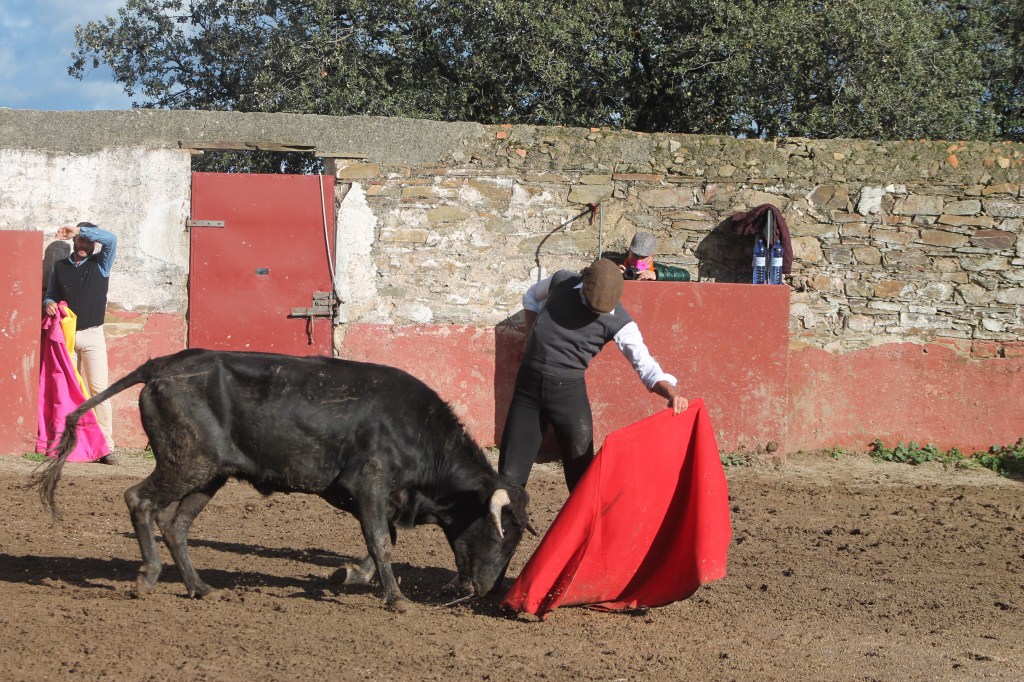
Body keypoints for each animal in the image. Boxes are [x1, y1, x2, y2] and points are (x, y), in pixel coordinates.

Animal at [33, 349, 534, 611]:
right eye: (503, 533)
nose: (485, 589)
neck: (419, 432)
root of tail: (161, 365)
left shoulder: (384, 497)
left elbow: (382, 542)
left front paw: (350, 574)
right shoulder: (370, 486)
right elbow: (381, 541)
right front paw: (396, 599)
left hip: (210, 475)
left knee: (176, 524)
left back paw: (199, 586)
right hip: (186, 464)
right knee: (139, 499)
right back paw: (149, 576)